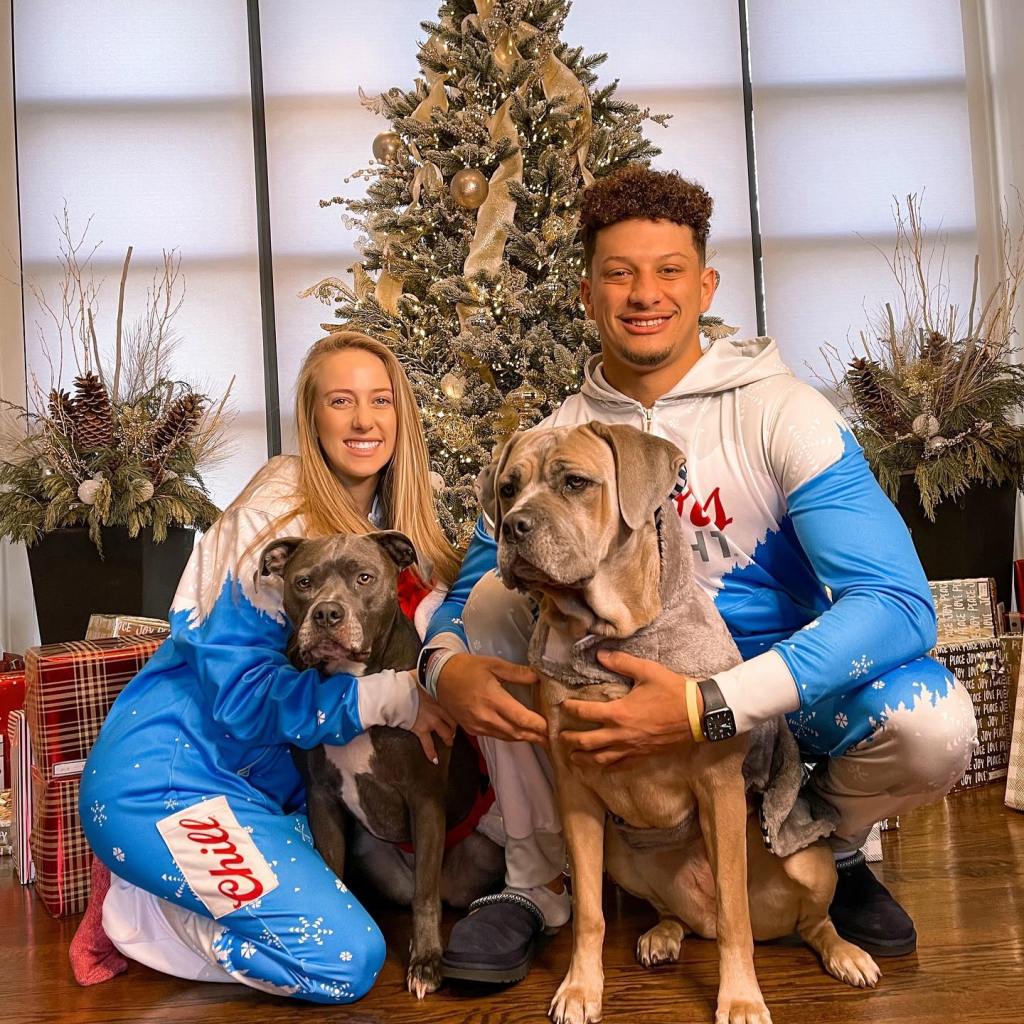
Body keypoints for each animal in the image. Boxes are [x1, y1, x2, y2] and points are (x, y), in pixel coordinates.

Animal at [258, 532, 501, 995]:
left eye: (364, 578)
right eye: (303, 582)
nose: (327, 613)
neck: (352, 681)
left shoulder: (424, 800)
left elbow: (425, 896)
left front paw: (425, 962)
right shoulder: (321, 799)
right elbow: (334, 872)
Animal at [479, 421, 880, 1024]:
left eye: (576, 483)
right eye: (508, 488)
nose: (512, 526)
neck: (606, 636)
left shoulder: (718, 787)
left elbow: (736, 915)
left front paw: (741, 998)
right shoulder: (575, 795)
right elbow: (590, 913)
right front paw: (581, 988)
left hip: (810, 866)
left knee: (808, 921)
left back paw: (845, 954)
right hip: (622, 856)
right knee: (678, 917)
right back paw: (663, 935)